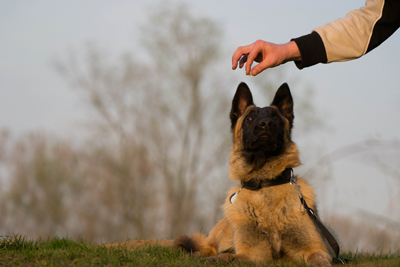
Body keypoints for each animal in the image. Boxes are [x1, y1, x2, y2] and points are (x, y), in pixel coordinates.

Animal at [173, 82, 332, 266]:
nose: (266, 124)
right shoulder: (253, 253)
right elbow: (227, 256)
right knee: (207, 246)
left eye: (276, 117)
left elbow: (317, 257)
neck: (264, 182)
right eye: (249, 118)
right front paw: (214, 259)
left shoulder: (314, 248)